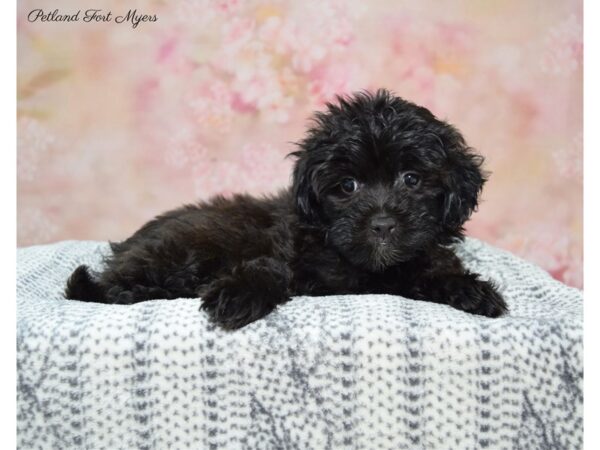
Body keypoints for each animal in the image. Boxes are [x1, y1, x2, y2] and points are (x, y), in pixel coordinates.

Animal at [65, 89, 506, 326]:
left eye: (412, 179)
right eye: (347, 186)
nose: (381, 225)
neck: (370, 269)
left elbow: (434, 268)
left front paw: (470, 290)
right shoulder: (288, 249)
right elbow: (270, 266)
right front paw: (239, 294)